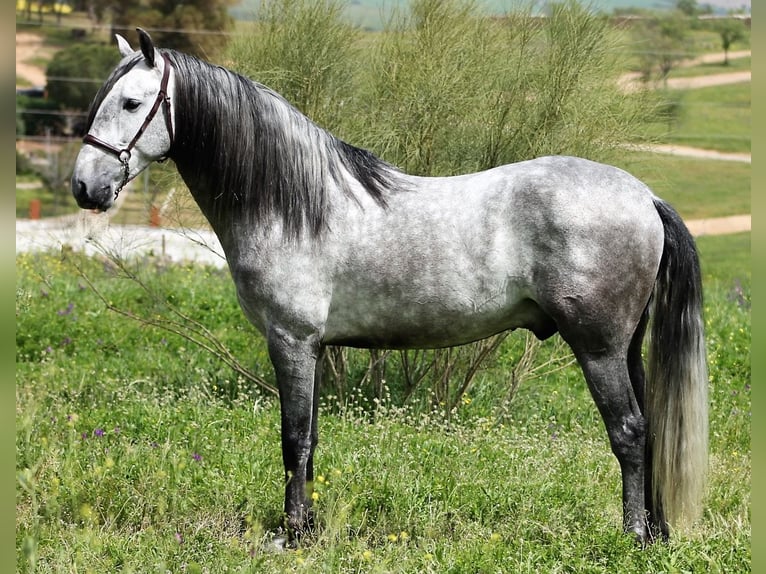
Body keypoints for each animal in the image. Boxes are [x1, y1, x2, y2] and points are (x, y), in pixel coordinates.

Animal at [70, 28, 708, 548]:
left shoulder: (291, 341)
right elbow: (312, 439)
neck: (296, 205)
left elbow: (293, 438)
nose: (84, 186)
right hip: (626, 349)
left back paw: (632, 537)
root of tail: (643, 196)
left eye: (131, 103)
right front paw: (307, 528)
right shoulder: (314, 348)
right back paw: (656, 530)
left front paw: (290, 535)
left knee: (628, 432)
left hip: (598, 348)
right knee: (650, 428)